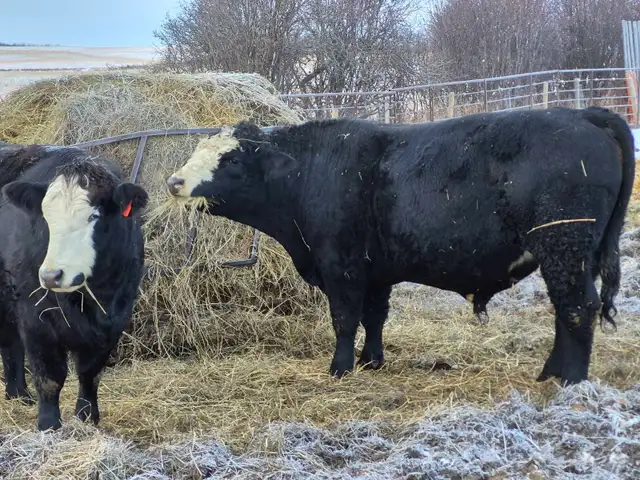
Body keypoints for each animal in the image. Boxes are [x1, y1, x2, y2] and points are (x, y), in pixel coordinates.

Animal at [0, 143, 148, 431]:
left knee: (10, 344)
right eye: (45, 216)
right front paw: (49, 425)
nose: (51, 275)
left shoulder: (115, 316)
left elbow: (90, 373)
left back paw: (19, 395)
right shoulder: (35, 317)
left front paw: (87, 417)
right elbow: (49, 377)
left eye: (94, 216)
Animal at [166, 106, 635, 386]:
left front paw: (340, 368)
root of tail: (582, 113)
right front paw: (372, 361)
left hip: (563, 243)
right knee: (566, 309)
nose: (174, 181)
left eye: (232, 159)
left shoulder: (341, 266)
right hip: (571, 254)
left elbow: (344, 320)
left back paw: (569, 379)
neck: (309, 173)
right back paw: (550, 372)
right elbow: (374, 318)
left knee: (578, 307)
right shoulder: (376, 270)